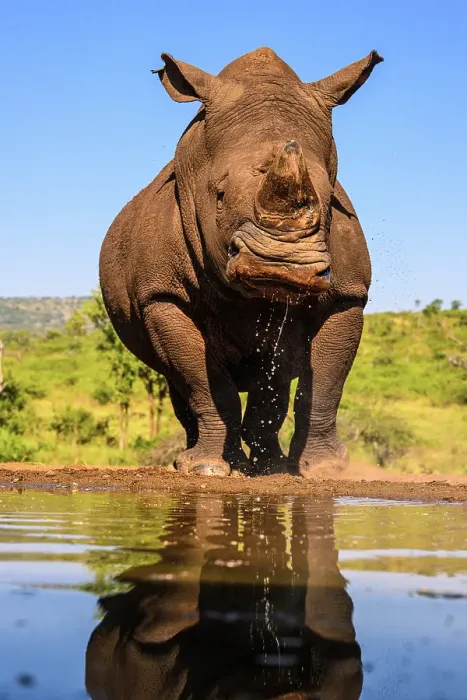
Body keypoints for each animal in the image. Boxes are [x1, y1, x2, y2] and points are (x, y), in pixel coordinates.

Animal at [99, 47, 383, 477]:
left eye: (327, 195)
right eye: (218, 196)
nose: (280, 264)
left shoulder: (348, 295)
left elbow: (325, 385)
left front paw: (325, 469)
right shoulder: (162, 295)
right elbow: (205, 382)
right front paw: (207, 469)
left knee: (274, 376)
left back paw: (271, 467)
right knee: (178, 381)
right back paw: (202, 462)